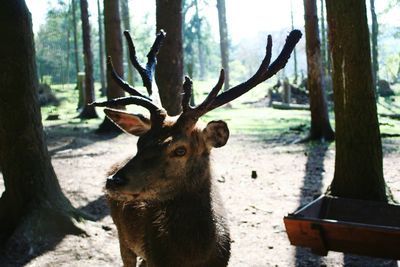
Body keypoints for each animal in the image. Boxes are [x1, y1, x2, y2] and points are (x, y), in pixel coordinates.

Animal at [92, 29, 302, 267]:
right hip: (122, 236)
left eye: (180, 150)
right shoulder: (154, 256)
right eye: (140, 142)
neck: (193, 258)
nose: (114, 180)